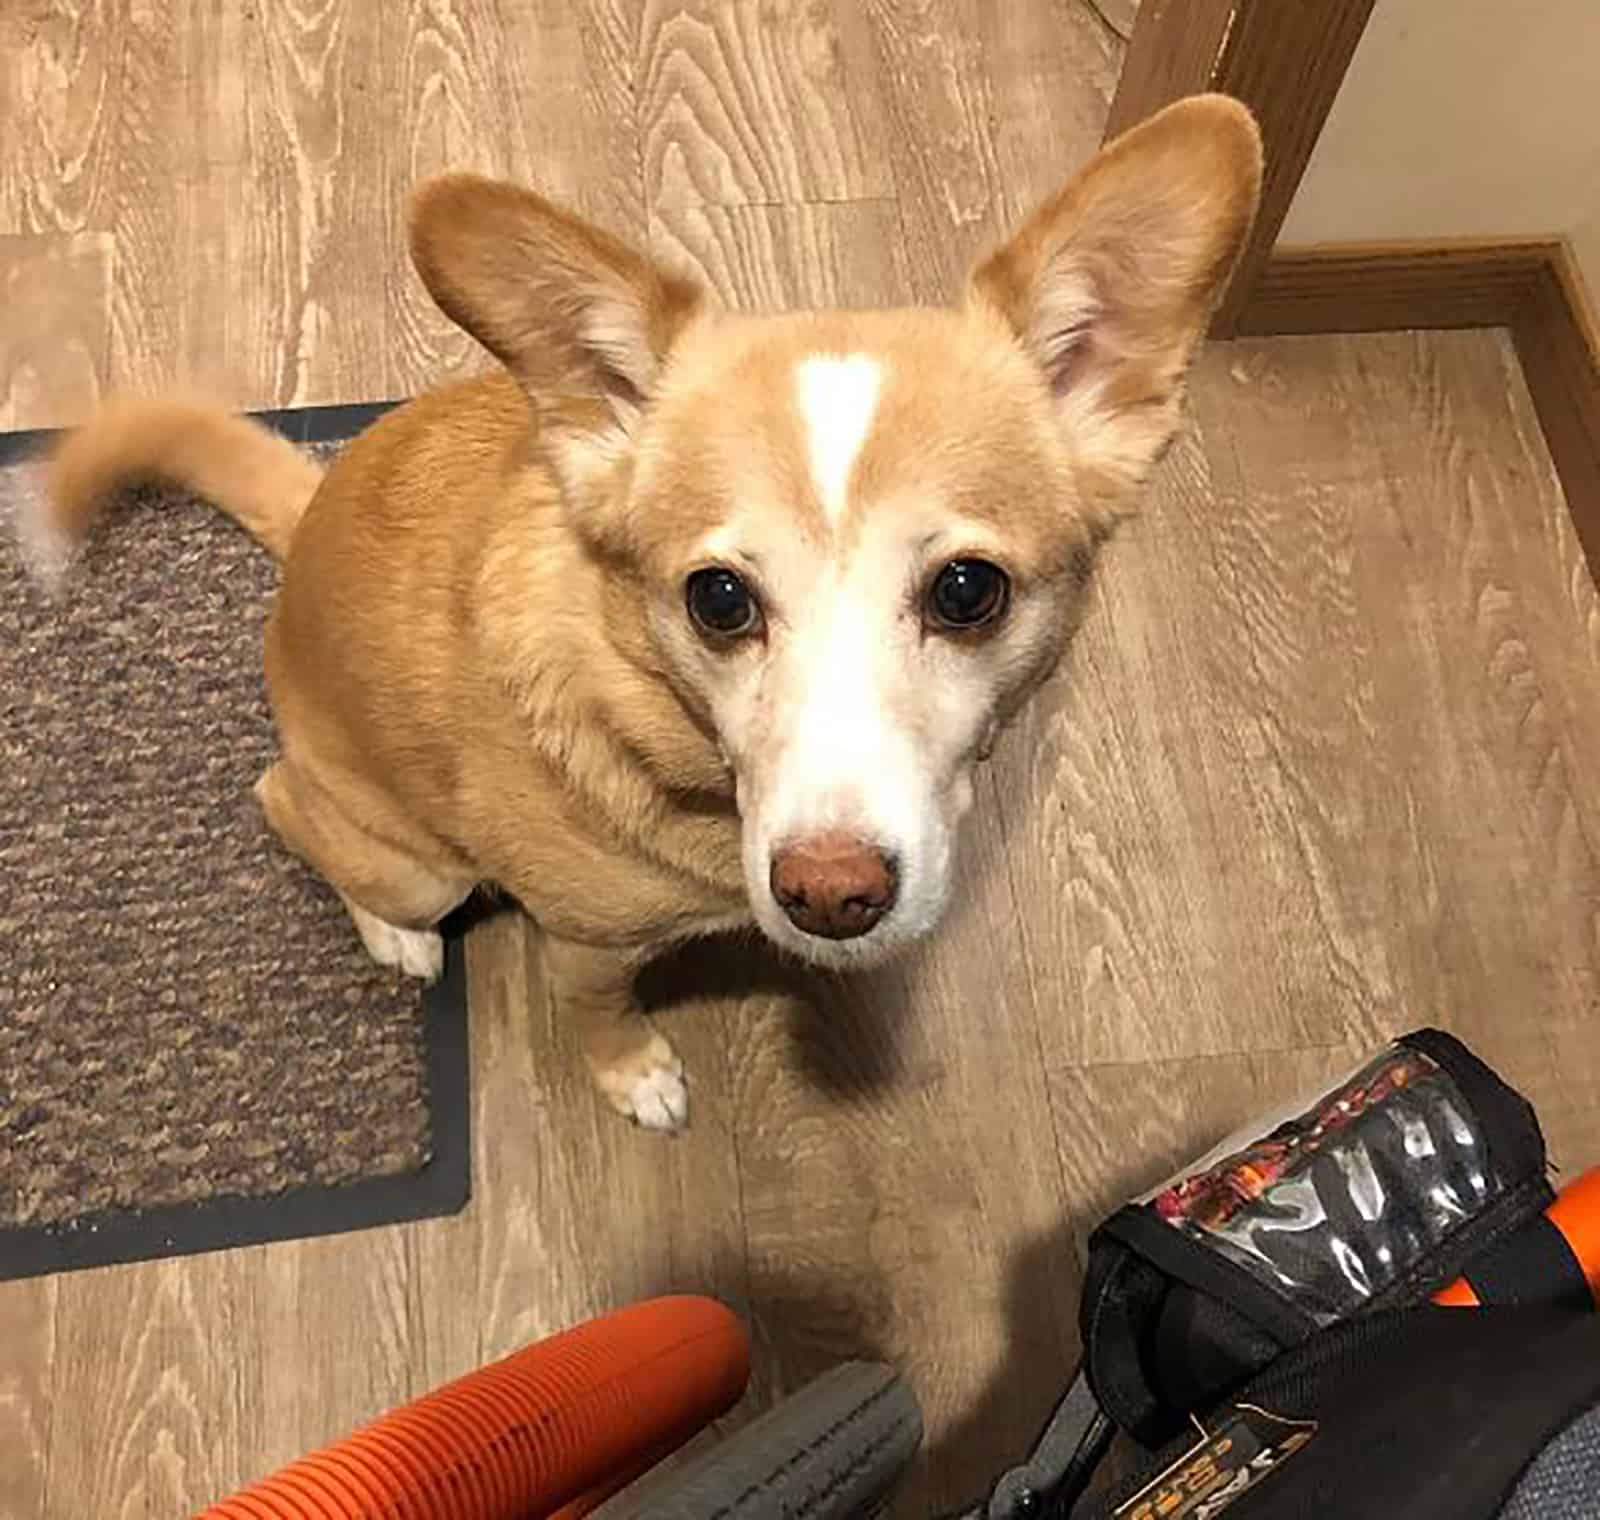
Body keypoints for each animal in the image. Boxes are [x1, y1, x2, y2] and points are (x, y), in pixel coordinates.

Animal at [31, 95, 1260, 1132]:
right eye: (718, 598)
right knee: (285, 803)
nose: (831, 896)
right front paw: (635, 1078)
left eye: (968, 590)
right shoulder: (582, 944)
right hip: (409, 855)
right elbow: (602, 1016)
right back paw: (394, 931)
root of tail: (309, 508)